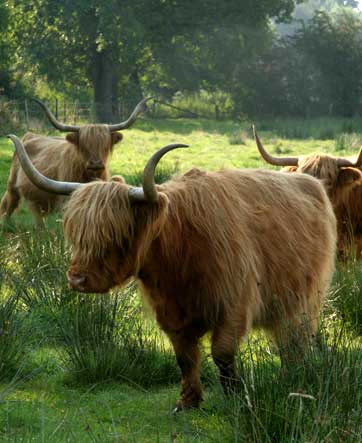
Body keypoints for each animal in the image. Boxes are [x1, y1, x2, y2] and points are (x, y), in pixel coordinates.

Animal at [0, 97, 151, 225]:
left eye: (105, 144)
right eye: (83, 144)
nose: (96, 164)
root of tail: (30, 135)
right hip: (12, 187)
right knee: (8, 206)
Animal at [8, 134, 336, 412]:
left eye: (116, 235)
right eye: (75, 234)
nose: (77, 279)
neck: (179, 248)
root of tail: (310, 183)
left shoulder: (235, 302)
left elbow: (222, 353)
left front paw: (235, 399)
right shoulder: (169, 312)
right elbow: (185, 356)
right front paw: (188, 401)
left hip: (306, 299)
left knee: (297, 341)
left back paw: (296, 378)